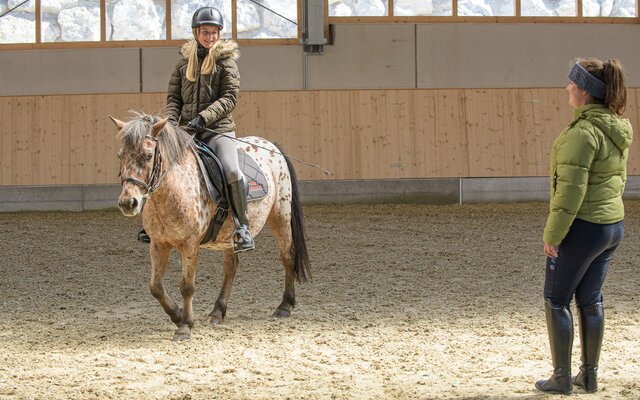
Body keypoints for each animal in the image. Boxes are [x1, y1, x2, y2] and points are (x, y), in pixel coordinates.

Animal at [111, 113, 312, 340]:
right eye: (120, 156)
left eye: (147, 156)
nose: (128, 203)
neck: (171, 191)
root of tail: (272, 146)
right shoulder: (158, 244)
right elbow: (155, 287)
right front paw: (176, 315)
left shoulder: (190, 245)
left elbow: (187, 286)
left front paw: (185, 326)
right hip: (230, 235)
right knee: (231, 267)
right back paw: (218, 312)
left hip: (280, 217)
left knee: (287, 257)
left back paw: (284, 307)